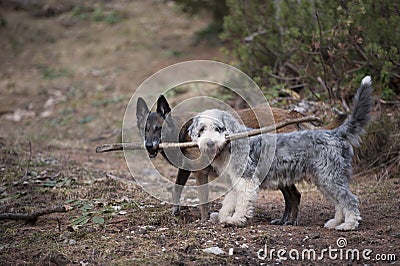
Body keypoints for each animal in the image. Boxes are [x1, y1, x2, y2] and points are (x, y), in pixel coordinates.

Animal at [189, 76, 374, 230]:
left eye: (219, 128)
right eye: (202, 129)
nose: (210, 143)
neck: (231, 144)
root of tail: (335, 133)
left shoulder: (246, 180)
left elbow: (242, 202)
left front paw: (236, 220)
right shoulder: (236, 180)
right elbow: (229, 201)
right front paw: (223, 216)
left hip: (330, 176)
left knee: (349, 200)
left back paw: (349, 225)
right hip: (324, 179)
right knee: (339, 202)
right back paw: (335, 222)